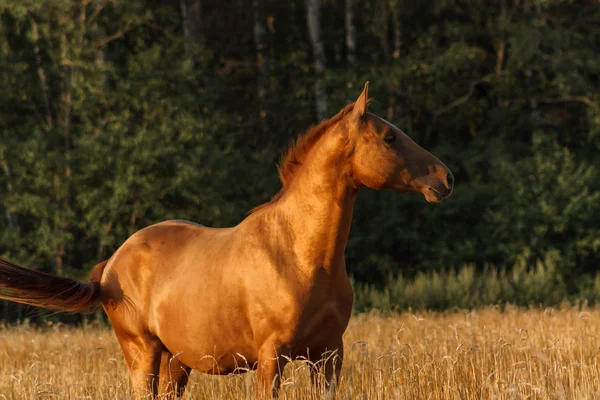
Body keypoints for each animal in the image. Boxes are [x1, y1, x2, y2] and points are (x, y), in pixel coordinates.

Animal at [0, 83, 450, 398]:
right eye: (389, 138)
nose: (445, 177)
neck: (299, 254)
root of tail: (109, 267)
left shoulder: (328, 355)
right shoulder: (272, 357)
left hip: (177, 362)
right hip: (142, 353)